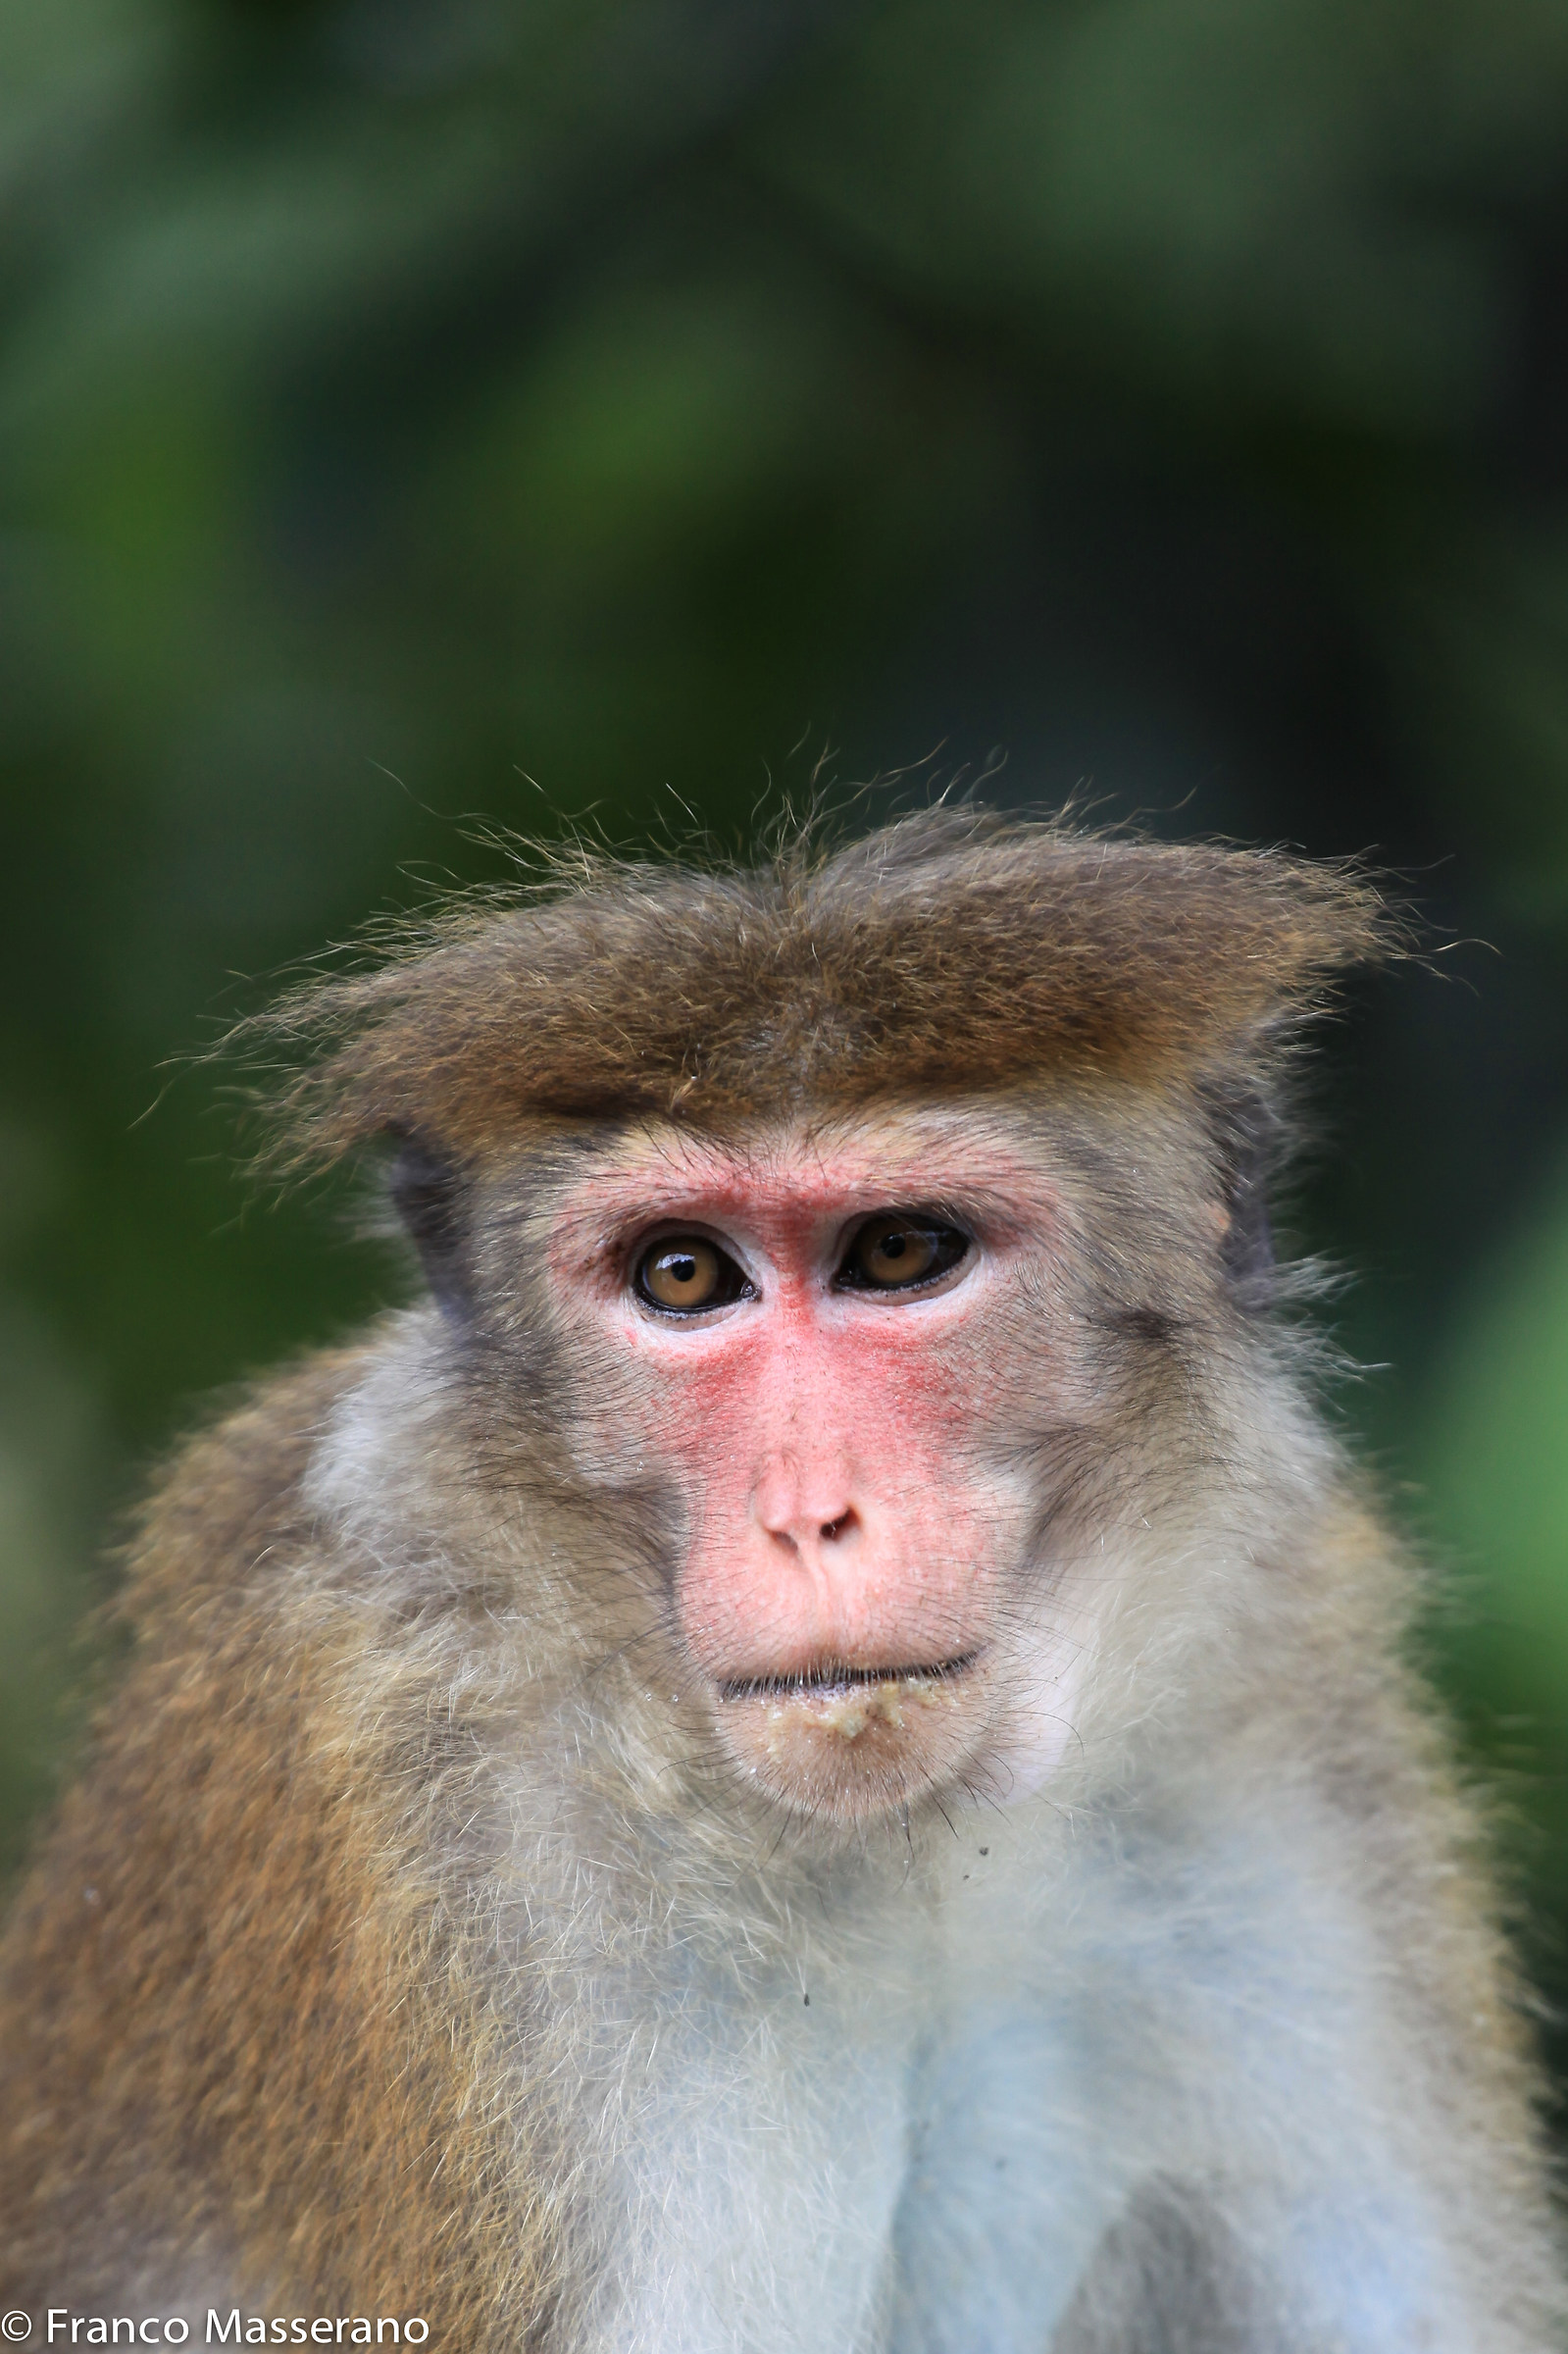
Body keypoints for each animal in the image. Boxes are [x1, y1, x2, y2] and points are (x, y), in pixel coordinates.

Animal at [0, 806, 1562, 2352]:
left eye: (899, 1251)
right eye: (683, 1275)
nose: (809, 1517)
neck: (916, 1859)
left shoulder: (1284, 1751)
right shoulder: (460, 1848)